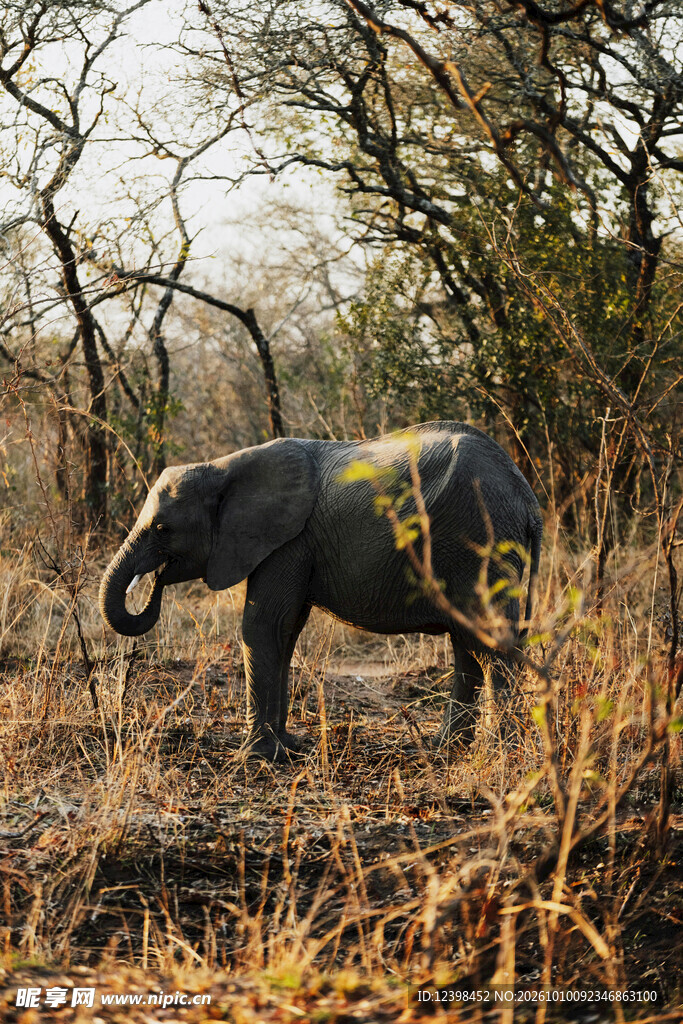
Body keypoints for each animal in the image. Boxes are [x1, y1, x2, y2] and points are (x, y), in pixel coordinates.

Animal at [99, 421, 542, 760]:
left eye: (162, 529)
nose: (153, 581)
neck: (222, 467)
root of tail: (527, 499)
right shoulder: (289, 542)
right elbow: (286, 631)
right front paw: (289, 748)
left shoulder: (288, 541)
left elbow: (263, 626)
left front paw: (257, 757)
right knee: (469, 644)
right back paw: (445, 749)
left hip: (479, 540)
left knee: (489, 643)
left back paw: (496, 753)